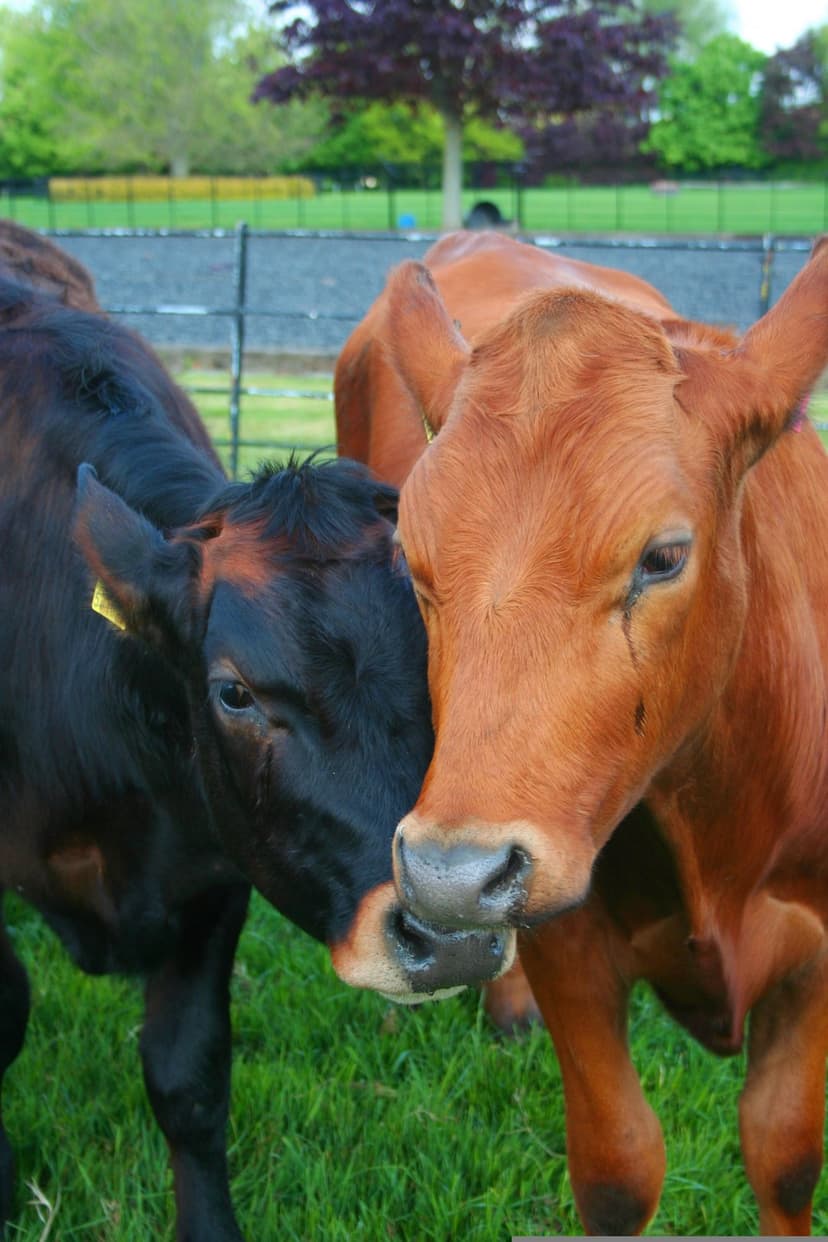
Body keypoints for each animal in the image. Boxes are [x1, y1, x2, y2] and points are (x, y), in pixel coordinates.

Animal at [334, 228, 828, 1235]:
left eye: (664, 557)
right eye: (413, 561)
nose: (451, 875)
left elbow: (786, 1155)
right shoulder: (572, 951)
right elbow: (618, 1169)